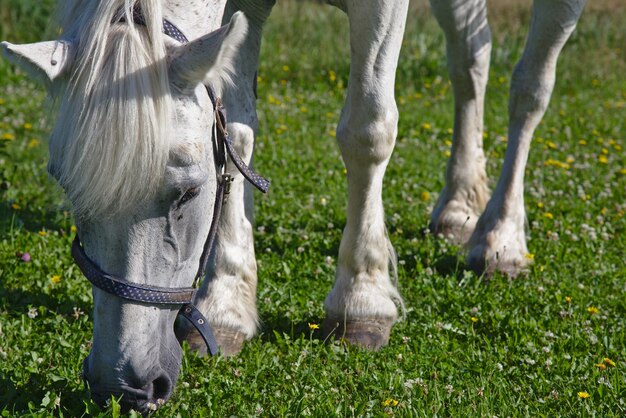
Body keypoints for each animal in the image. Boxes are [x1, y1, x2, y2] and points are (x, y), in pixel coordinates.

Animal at [0, 0, 584, 414]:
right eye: (68, 188)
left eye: (186, 193)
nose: (123, 384)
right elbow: (236, 129)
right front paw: (227, 303)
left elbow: (367, 127)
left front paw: (361, 300)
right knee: (470, 60)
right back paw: (460, 206)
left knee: (530, 85)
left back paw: (500, 238)